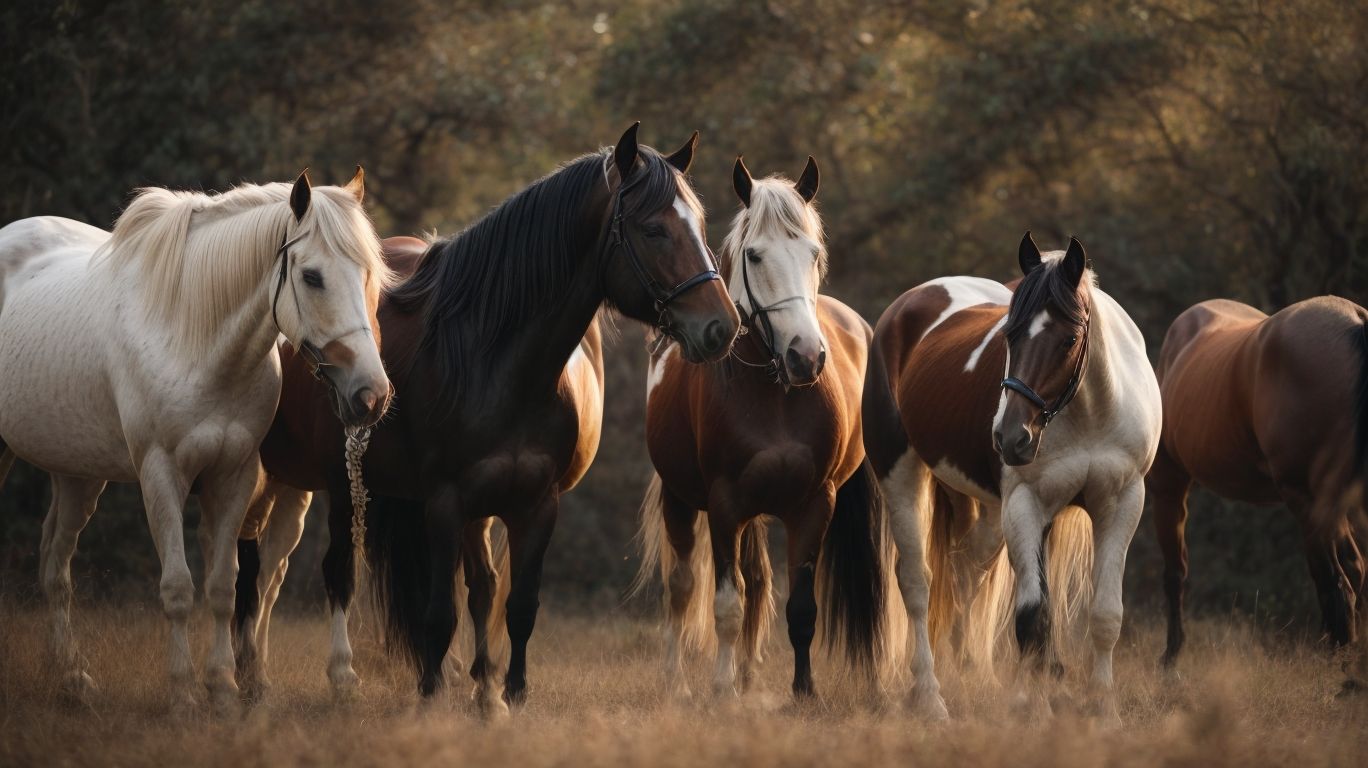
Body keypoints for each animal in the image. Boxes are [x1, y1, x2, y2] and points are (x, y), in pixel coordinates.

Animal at [0, 169, 392, 712]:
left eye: (367, 274)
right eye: (312, 277)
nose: (371, 395)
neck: (193, 338)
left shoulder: (235, 477)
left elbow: (225, 587)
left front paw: (224, 689)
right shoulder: (161, 475)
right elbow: (180, 589)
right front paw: (184, 694)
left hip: (77, 473)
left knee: (55, 564)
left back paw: (72, 677)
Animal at [234, 124, 741, 714]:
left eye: (700, 225)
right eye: (655, 228)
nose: (722, 326)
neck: (491, 357)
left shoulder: (535, 504)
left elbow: (515, 603)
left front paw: (507, 694)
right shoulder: (444, 501)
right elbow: (439, 610)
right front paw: (431, 694)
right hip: (317, 481)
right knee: (302, 570)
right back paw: (300, 676)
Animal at [633, 156, 897, 700]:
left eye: (813, 253)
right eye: (754, 256)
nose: (806, 357)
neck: (775, 396)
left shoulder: (814, 505)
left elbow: (800, 608)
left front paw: (804, 691)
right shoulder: (724, 506)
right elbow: (725, 604)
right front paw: (722, 690)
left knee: (756, 583)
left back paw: (750, 675)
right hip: (680, 500)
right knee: (683, 585)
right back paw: (679, 682)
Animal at [863, 233, 1161, 719]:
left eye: (1069, 339)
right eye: (1009, 334)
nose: (1009, 437)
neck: (1091, 410)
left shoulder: (1121, 504)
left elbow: (1104, 615)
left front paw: (1103, 709)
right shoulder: (1026, 504)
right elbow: (1032, 618)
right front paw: (1036, 708)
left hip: (983, 511)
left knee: (968, 574)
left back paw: (972, 677)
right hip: (902, 477)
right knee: (918, 584)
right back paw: (931, 696)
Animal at [1147, 296, 1368, 688]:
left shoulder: (1167, 486)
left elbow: (1174, 574)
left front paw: (1170, 660)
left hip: (1310, 503)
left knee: (1337, 582)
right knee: (1350, 573)